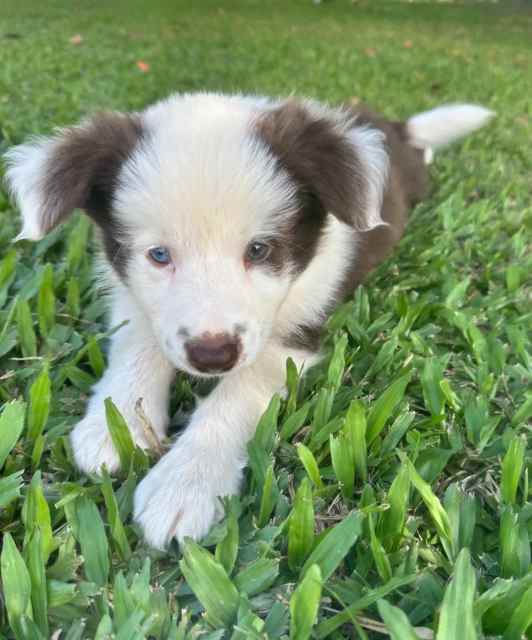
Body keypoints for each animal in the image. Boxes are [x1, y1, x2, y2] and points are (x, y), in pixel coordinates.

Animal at [5, 92, 494, 548]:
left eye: (260, 250)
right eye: (158, 255)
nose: (212, 354)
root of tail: (394, 128)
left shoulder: (295, 330)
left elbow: (236, 395)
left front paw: (184, 483)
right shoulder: (133, 295)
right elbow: (139, 342)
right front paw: (118, 422)